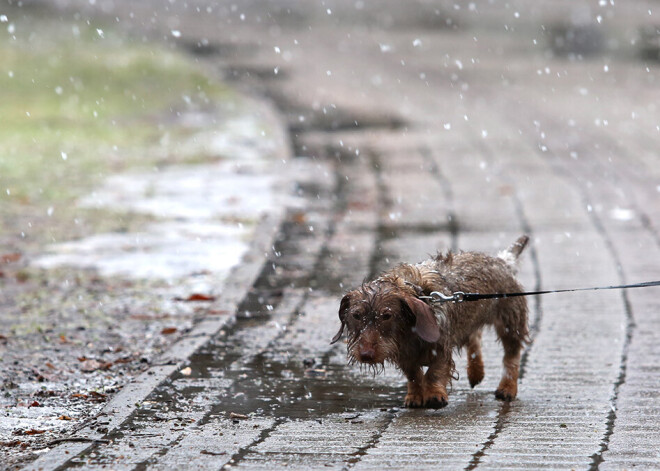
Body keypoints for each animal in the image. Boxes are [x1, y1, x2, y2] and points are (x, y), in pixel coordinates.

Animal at [332, 236, 528, 410]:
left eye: (387, 315)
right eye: (356, 315)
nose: (366, 354)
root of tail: (503, 261)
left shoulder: (441, 347)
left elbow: (434, 372)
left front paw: (434, 394)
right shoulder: (404, 355)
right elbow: (413, 375)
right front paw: (415, 395)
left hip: (510, 322)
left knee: (511, 356)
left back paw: (507, 388)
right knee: (474, 338)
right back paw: (475, 372)